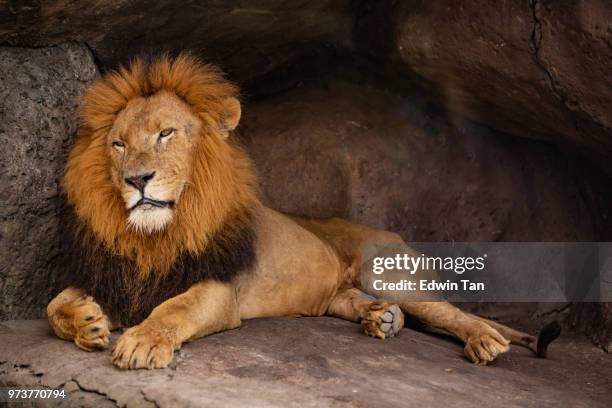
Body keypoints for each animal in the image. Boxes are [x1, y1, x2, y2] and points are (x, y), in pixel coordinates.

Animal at [47, 52, 560, 368]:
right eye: (117, 144)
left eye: (166, 134)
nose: (137, 180)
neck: (157, 235)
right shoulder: (118, 275)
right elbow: (55, 304)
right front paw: (87, 322)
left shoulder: (219, 288)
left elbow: (175, 309)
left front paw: (143, 341)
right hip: (340, 291)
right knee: (353, 301)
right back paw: (382, 319)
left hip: (389, 272)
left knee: (452, 314)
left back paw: (484, 340)